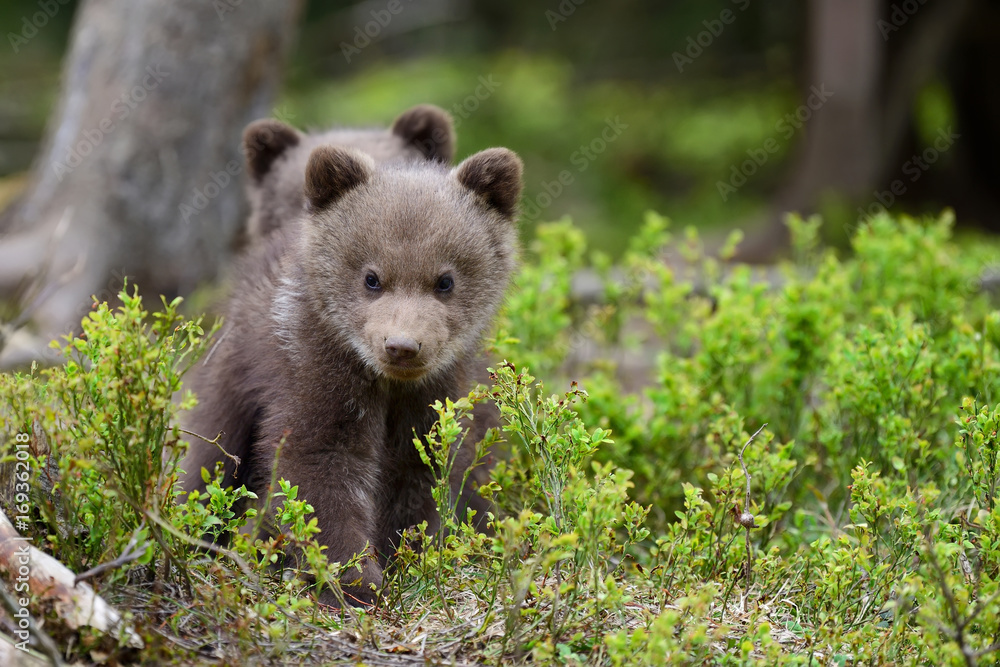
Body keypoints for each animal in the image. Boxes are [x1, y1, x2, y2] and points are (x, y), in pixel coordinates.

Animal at [180, 142, 523, 605]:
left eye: (445, 280)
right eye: (372, 277)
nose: (402, 345)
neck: (387, 384)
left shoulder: (434, 393)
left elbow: (416, 468)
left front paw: (399, 556)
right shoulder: (316, 369)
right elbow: (318, 464)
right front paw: (353, 576)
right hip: (235, 375)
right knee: (212, 457)